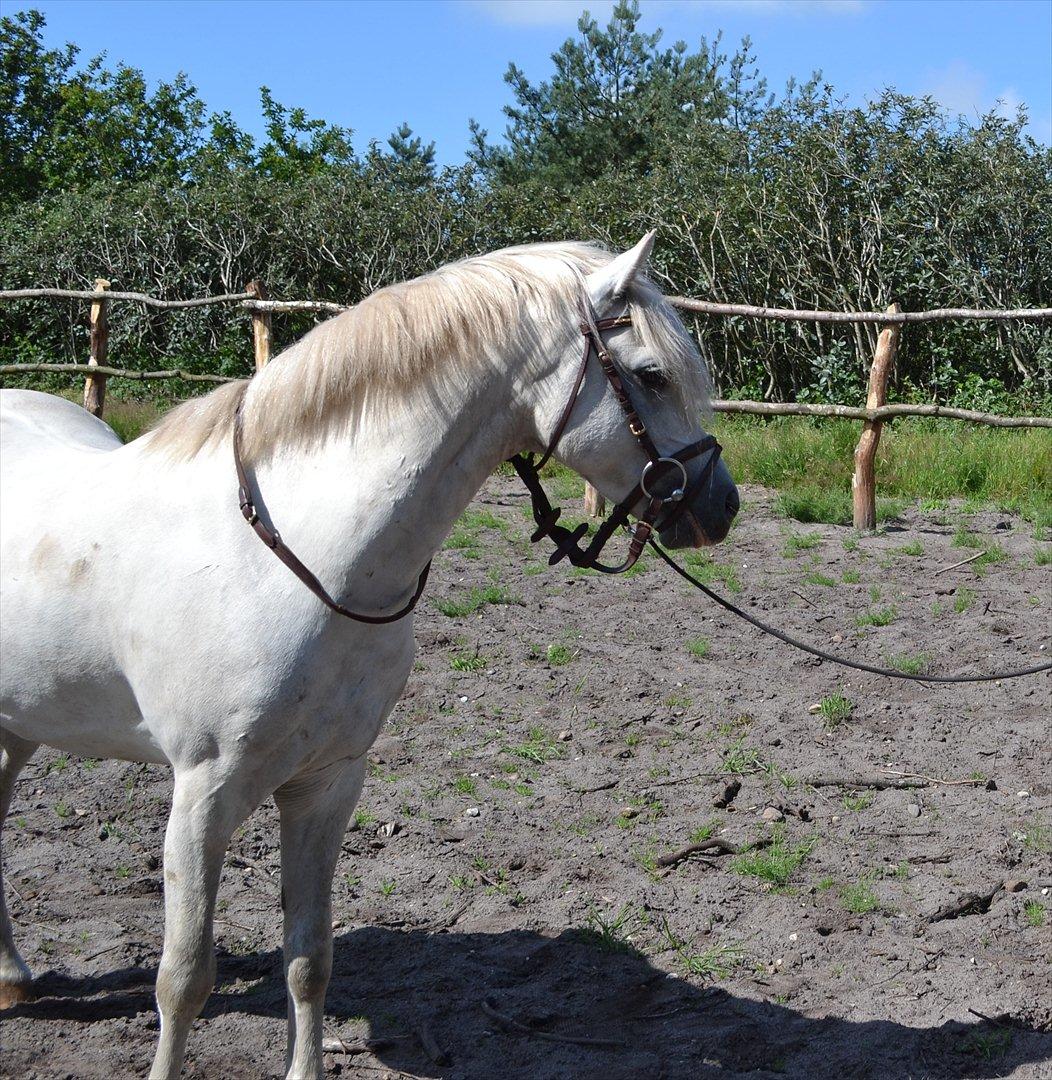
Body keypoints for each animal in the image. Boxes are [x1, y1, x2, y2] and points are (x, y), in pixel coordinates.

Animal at [0, 233, 738, 1078]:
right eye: (650, 375)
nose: (720, 504)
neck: (300, 554)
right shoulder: (202, 796)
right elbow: (183, 980)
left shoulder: (328, 782)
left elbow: (308, 960)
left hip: (17, 726)